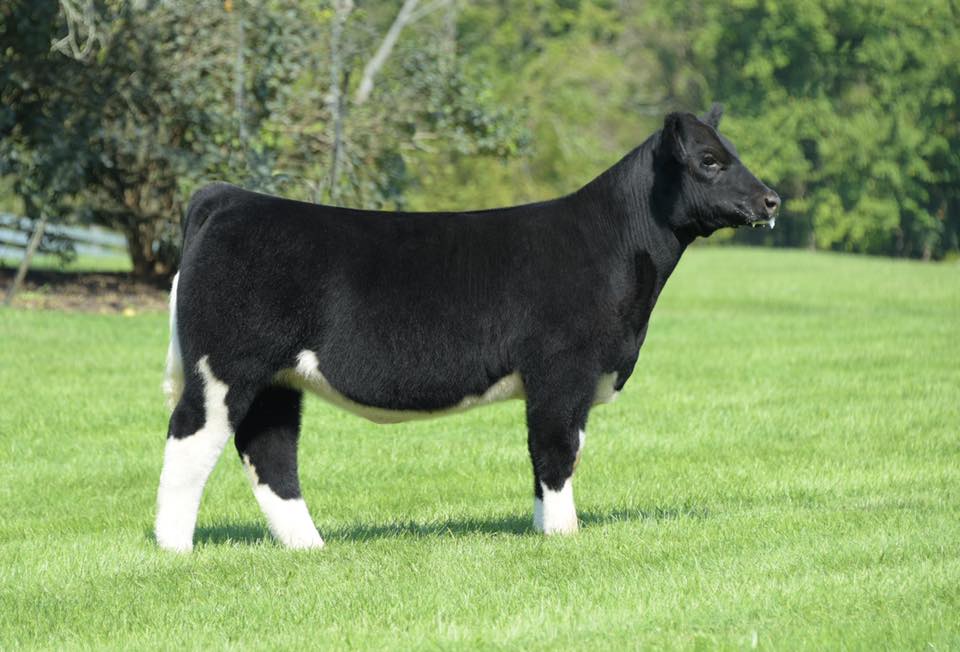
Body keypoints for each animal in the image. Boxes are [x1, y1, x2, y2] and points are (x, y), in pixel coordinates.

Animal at [156, 105, 780, 551]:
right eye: (709, 160)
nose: (771, 200)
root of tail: (227, 197)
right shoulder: (561, 372)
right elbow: (555, 451)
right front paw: (563, 535)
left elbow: (556, 453)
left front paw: (545, 530)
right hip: (225, 367)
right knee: (190, 440)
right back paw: (174, 549)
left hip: (278, 379)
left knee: (270, 451)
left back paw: (310, 546)